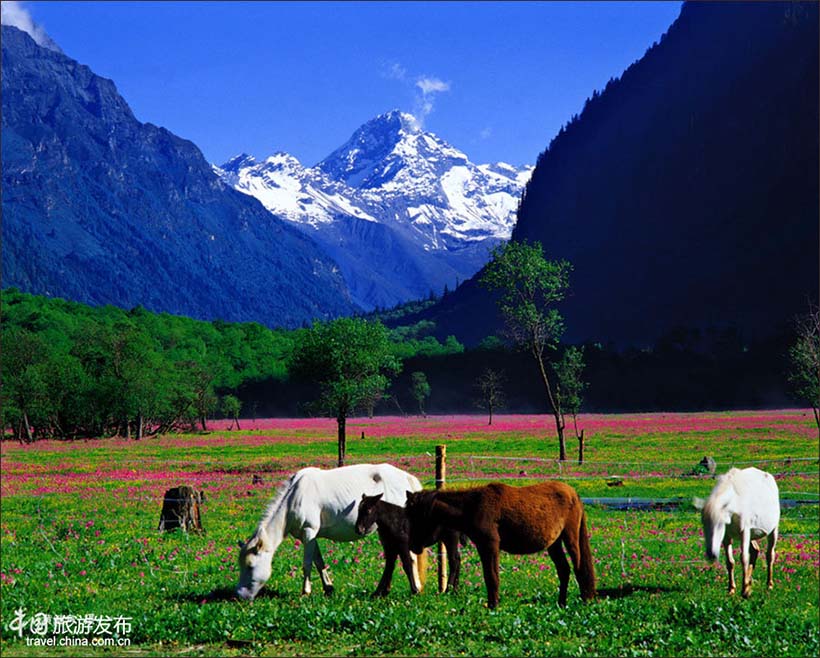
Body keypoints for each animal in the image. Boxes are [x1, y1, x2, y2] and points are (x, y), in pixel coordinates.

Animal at [234, 462, 420, 600]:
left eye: (250, 566)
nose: (240, 595)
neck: (295, 497)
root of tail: (406, 478)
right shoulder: (309, 536)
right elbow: (319, 562)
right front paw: (329, 588)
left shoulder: (309, 532)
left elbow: (307, 564)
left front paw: (305, 592)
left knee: (408, 558)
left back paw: (415, 588)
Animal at [404, 480, 596, 608]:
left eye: (416, 516)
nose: (412, 546)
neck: (473, 506)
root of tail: (574, 494)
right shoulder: (483, 547)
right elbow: (489, 577)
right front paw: (492, 604)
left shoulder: (490, 546)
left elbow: (492, 577)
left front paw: (493, 606)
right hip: (553, 544)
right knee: (564, 570)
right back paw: (561, 603)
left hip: (570, 538)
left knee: (579, 566)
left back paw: (585, 599)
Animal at [692, 464, 780, 596]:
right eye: (704, 523)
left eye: (720, 524)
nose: (711, 555)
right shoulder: (727, 536)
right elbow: (730, 561)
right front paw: (732, 589)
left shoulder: (744, 532)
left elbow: (743, 558)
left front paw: (745, 590)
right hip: (752, 535)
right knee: (755, 550)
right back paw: (750, 581)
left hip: (773, 530)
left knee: (770, 555)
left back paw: (769, 585)